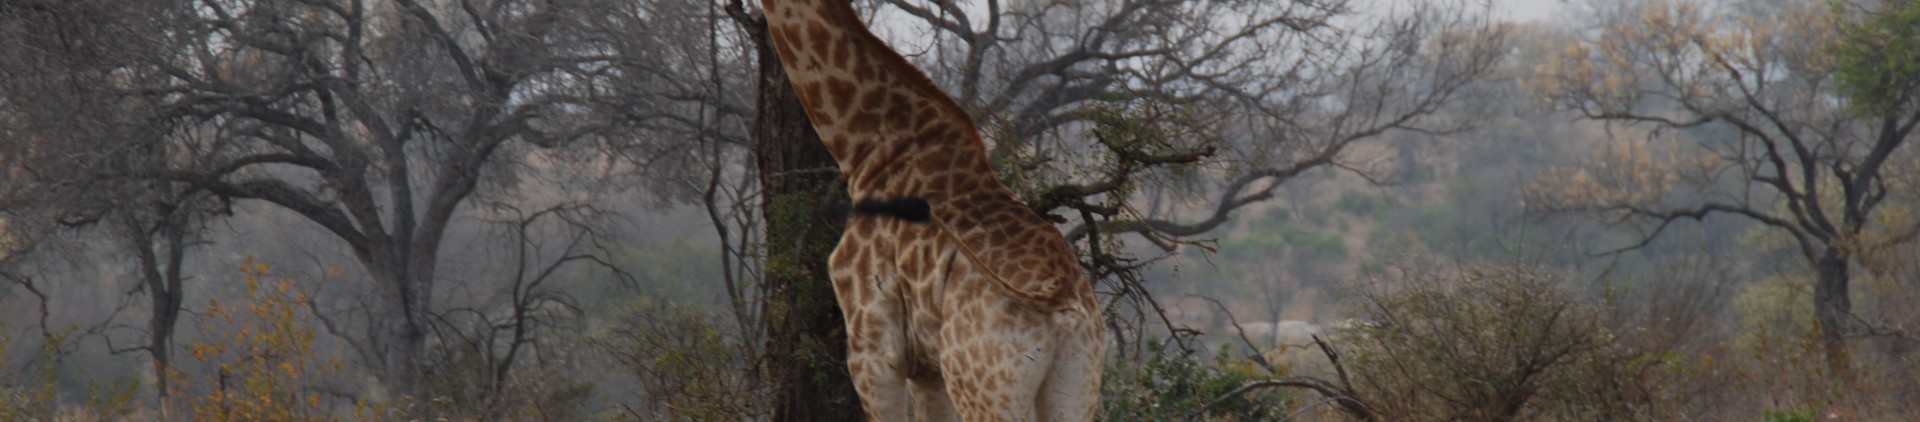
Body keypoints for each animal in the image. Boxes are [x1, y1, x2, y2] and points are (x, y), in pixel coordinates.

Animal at [758, 0, 1105, 420]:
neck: (868, 152)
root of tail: (1061, 297)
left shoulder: (872, 350)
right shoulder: (926, 368)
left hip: (983, 387)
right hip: (1076, 381)